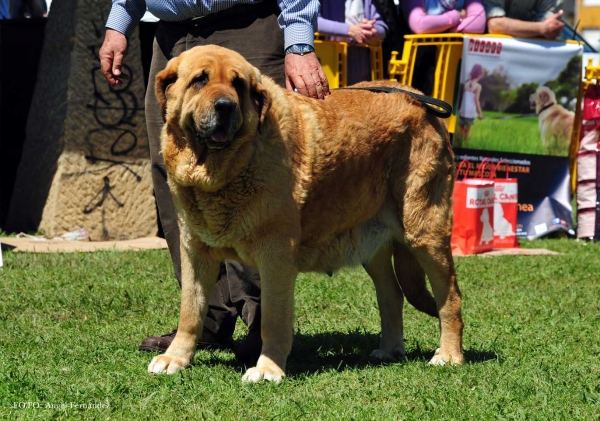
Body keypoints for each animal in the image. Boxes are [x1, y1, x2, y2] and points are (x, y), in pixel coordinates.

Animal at [146, 45, 464, 380]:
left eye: (238, 85)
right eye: (200, 80)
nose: (225, 106)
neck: (225, 169)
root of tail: (421, 99)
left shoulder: (276, 255)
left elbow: (272, 319)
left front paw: (267, 368)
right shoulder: (195, 251)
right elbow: (191, 310)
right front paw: (176, 358)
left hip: (424, 231)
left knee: (450, 297)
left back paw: (448, 355)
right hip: (370, 241)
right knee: (392, 293)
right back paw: (390, 350)